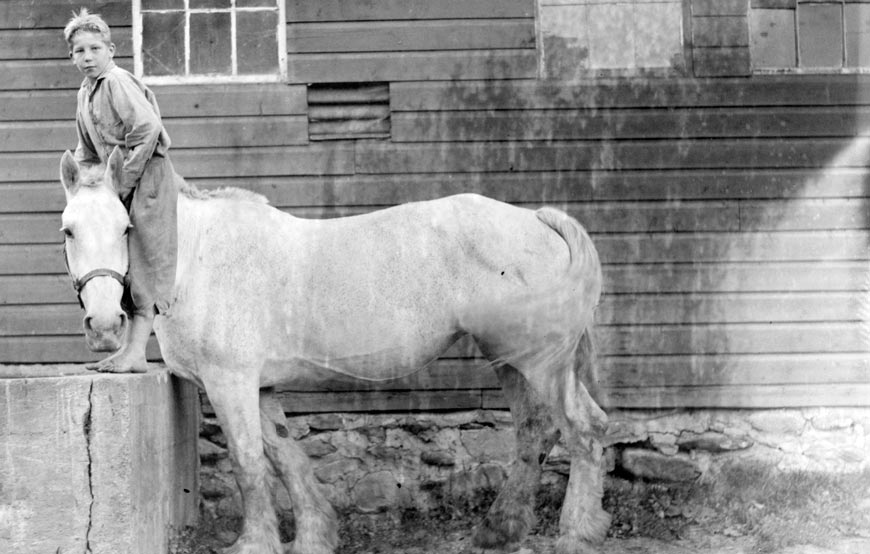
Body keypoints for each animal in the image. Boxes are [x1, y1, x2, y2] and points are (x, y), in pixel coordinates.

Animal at [58, 147, 608, 552]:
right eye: (68, 230)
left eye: (125, 228)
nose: (103, 323)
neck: (195, 258)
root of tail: (538, 220)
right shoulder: (260, 388)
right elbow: (285, 456)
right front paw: (315, 536)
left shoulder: (230, 383)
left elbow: (248, 461)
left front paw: (254, 544)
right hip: (512, 359)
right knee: (536, 432)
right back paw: (499, 530)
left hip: (537, 363)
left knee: (583, 428)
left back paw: (575, 534)